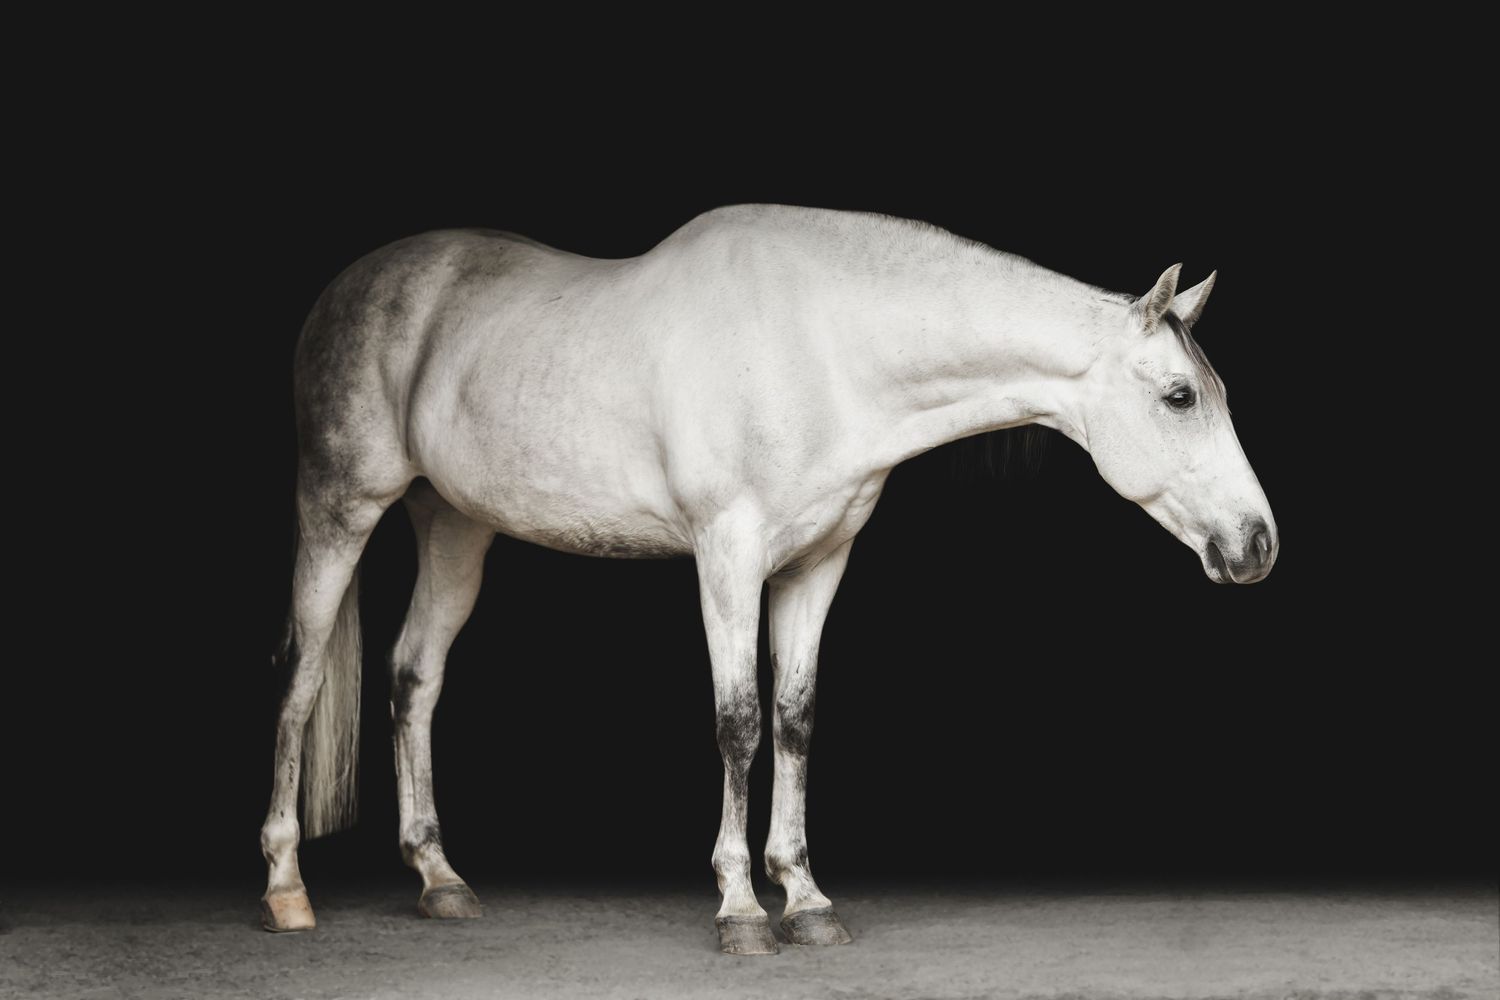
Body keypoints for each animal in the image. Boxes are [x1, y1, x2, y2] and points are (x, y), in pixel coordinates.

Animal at [260, 203, 1278, 954]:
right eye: (1180, 397)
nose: (1257, 543)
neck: (821, 349)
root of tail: (349, 287)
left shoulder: (819, 563)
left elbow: (795, 719)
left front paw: (807, 898)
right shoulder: (728, 556)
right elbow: (739, 720)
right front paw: (743, 910)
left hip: (455, 527)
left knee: (414, 680)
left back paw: (440, 879)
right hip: (341, 510)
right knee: (302, 683)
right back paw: (286, 888)